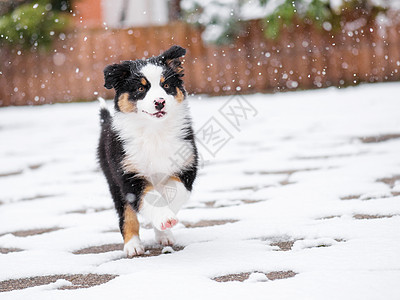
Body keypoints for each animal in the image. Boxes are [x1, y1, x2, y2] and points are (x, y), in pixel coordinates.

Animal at [97, 45, 197, 256]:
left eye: (166, 85)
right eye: (141, 88)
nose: (160, 102)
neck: (154, 131)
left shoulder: (187, 165)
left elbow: (176, 191)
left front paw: (166, 220)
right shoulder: (129, 176)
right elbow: (149, 198)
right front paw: (165, 218)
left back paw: (163, 236)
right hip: (113, 180)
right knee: (126, 215)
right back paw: (133, 246)